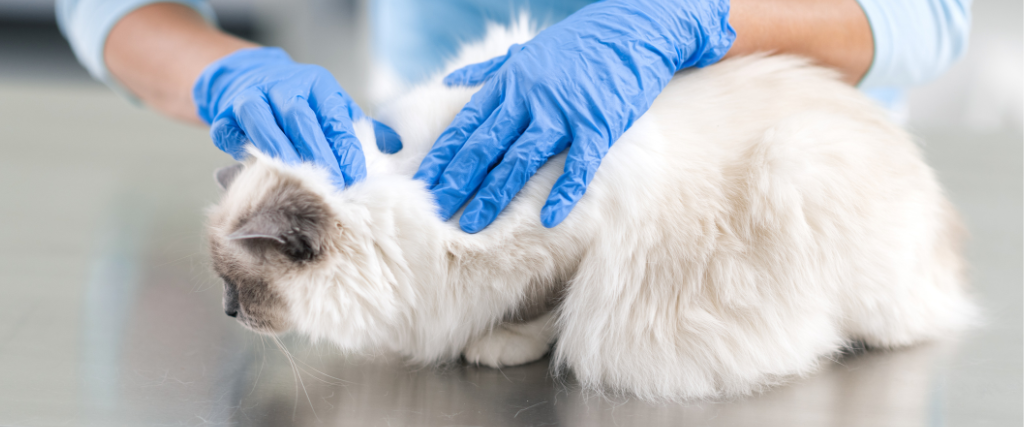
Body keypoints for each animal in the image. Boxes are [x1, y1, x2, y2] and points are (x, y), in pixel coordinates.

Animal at [205, 19, 974, 399]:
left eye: (241, 287)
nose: (229, 315)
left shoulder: (573, 236)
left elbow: (547, 306)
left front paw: (497, 344)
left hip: (799, 165)